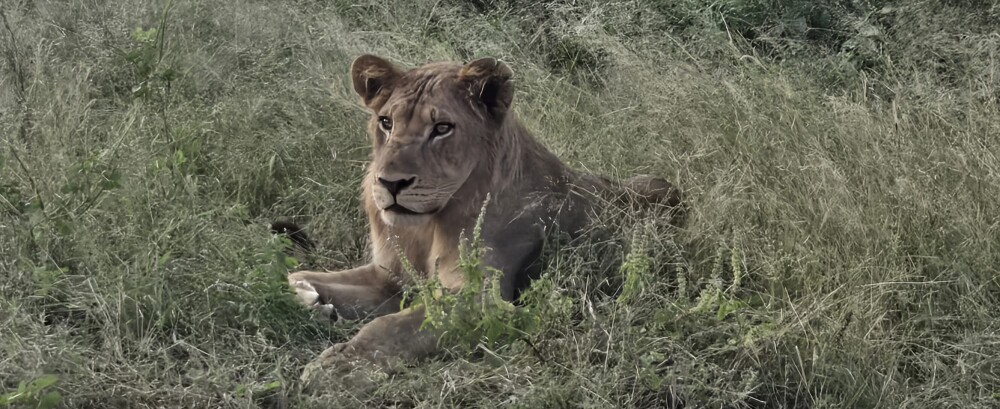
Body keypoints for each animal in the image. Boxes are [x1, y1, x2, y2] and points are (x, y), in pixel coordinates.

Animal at [286, 54, 682, 368]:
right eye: (386, 122)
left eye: (442, 128)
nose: (390, 184)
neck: (425, 228)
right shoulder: (389, 278)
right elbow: (300, 273)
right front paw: (311, 298)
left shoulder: (482, 299)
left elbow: (388, 326)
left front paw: (336, 368)